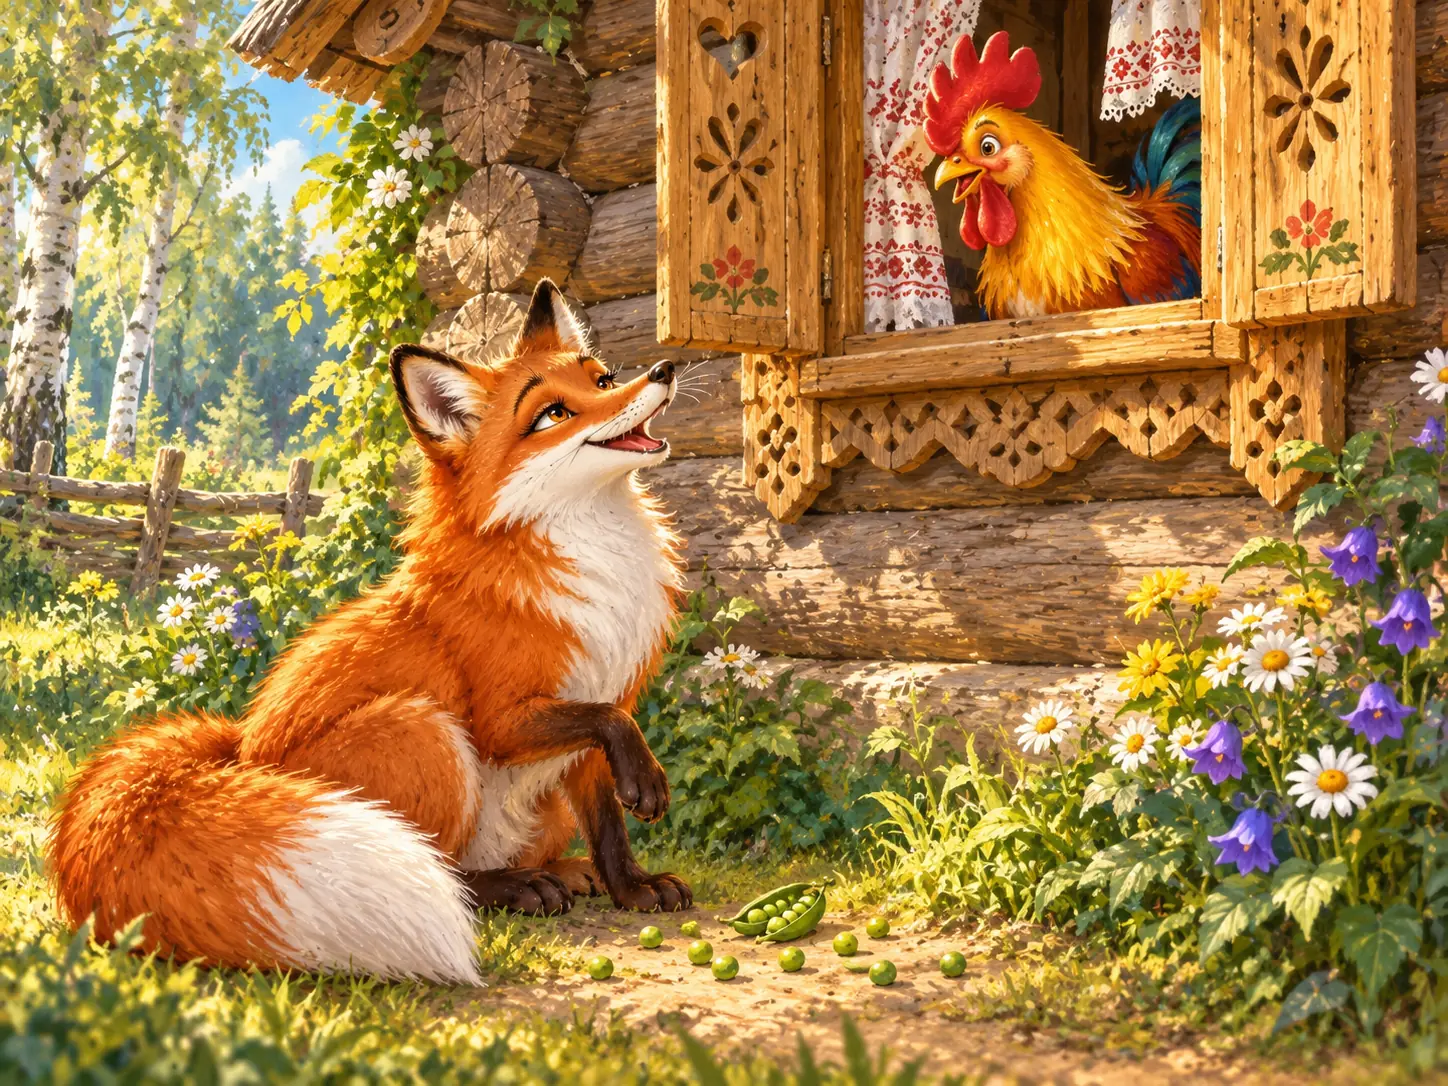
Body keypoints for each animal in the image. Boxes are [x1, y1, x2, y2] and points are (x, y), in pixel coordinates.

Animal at [49, 280, 692, 986]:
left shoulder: (601, 705)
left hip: (529, 806)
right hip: (424, 732)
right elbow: (609, 723)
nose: (663, 370)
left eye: (602, 379)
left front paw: (632, 887)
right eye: (552, 414)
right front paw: (648, 784)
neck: (594, 564)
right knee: (451, 872)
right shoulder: (507, 716)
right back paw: (516, 887)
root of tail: (240, 750)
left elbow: (609, 824)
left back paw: (560, 871)